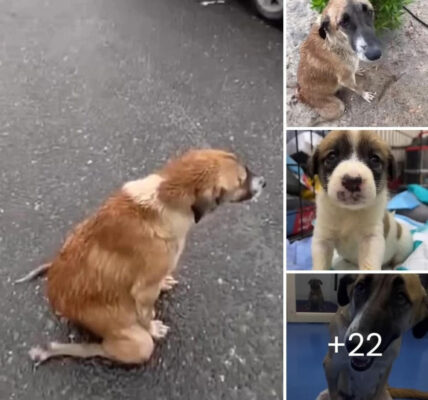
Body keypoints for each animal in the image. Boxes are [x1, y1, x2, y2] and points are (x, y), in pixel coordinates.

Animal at [20, 148, 268, 364]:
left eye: (247, 169)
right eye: (241, 180)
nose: (264, 181)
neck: (165, 198)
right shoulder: (144, 291)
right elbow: (147, 313)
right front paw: (153, 326)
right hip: (137, 343)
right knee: (102, 348)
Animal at [310, 130, 412, 270]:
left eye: (374, 159)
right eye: (331, 156)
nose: (352, 181)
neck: (348, 212)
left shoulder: (371, 239)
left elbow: (369, 266)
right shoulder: (323, 239)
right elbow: (321, 265)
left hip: (403, 245)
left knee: (398, 259)